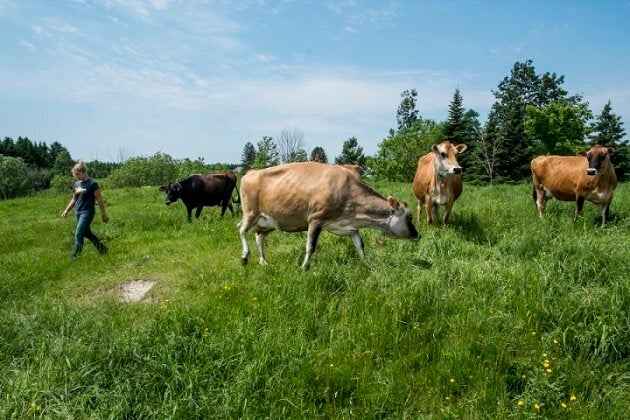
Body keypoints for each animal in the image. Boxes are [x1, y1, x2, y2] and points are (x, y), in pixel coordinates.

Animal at [239, 161, 422, 270]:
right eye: (409, 217)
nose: (418, 235)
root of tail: (250, 173)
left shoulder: (351, 227)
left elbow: (360, 246)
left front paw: (366, 264)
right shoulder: (315, 219)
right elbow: (310, 247)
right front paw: (304, 267)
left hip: (267, 221)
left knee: (259, 237)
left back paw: (263, 261)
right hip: (251, 212)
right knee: (241, 229)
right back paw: (245, 256)